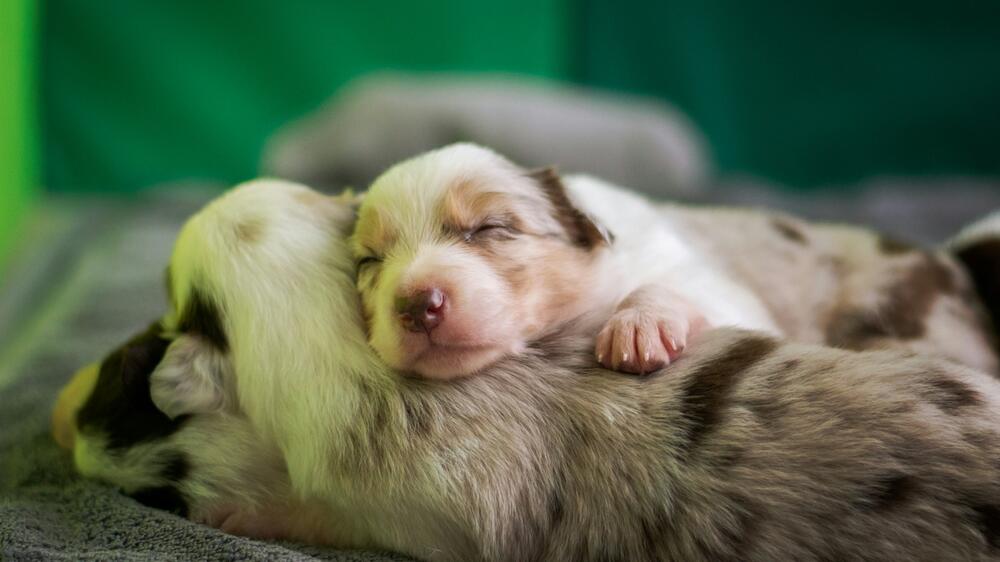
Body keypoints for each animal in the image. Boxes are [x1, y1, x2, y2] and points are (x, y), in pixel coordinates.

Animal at [354, 143, 780, 376]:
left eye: (489, 227)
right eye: (369, 261)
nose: (416, 306)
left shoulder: (715, 287)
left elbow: (667, 285)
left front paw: (638, 326)